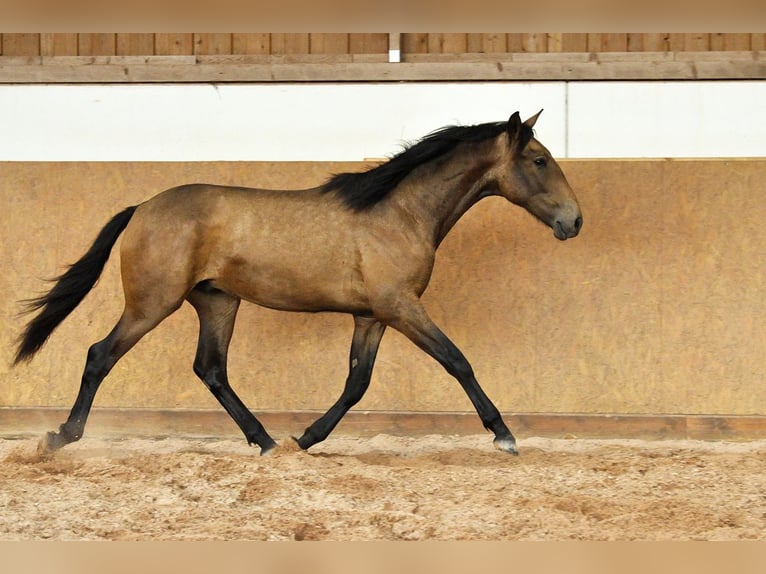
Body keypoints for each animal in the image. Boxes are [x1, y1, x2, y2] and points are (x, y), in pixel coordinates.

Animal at [14, 110, 582, 456]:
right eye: (539, 160)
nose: (573, 222)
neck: (399, 213)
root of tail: (141, 208)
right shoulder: (401, 308)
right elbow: (457, 361)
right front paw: (504, 436)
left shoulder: (372, 316)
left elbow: (357, 383)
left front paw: (306, 439)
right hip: (153, 303)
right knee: (100, 355)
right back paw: (61, 436)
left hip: (217, 303)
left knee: (211, 370)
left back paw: (265, 442)